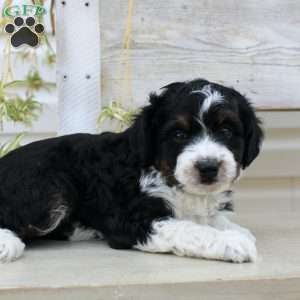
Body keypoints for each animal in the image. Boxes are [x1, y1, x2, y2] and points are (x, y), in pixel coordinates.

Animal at [0, 79, 262, 262]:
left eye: (226, 131)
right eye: (178, 134)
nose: (208, 167)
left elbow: (208, 219)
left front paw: (235, 229)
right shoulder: (134, 220)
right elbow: (189, 229)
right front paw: (231, 241)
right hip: (50, 188)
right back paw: (7, 244)